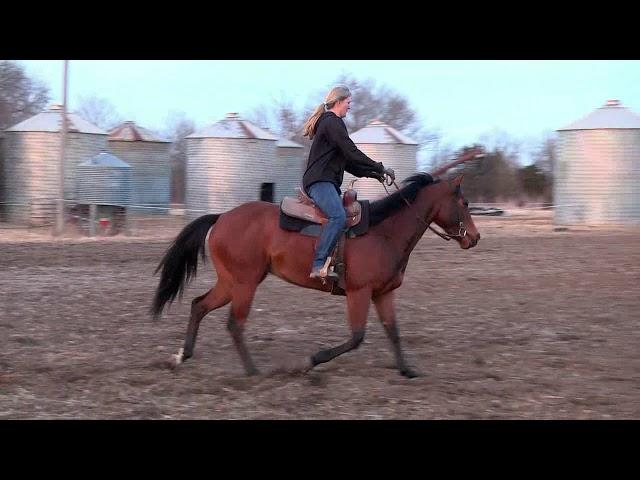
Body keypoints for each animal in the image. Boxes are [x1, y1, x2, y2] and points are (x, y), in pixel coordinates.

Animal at [150, 148, 480, 376]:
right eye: (464, 203)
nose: (474, 237)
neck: (384, 231)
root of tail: (221, 218)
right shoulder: (359, 293)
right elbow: (356, 337)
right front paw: (311, 361)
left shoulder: (383, 293)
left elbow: (393, 332)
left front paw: (407, 370)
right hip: (245, 283)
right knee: (234, 323)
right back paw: (253, 372)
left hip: (231, 282)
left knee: (199, 306)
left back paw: (181, 356)